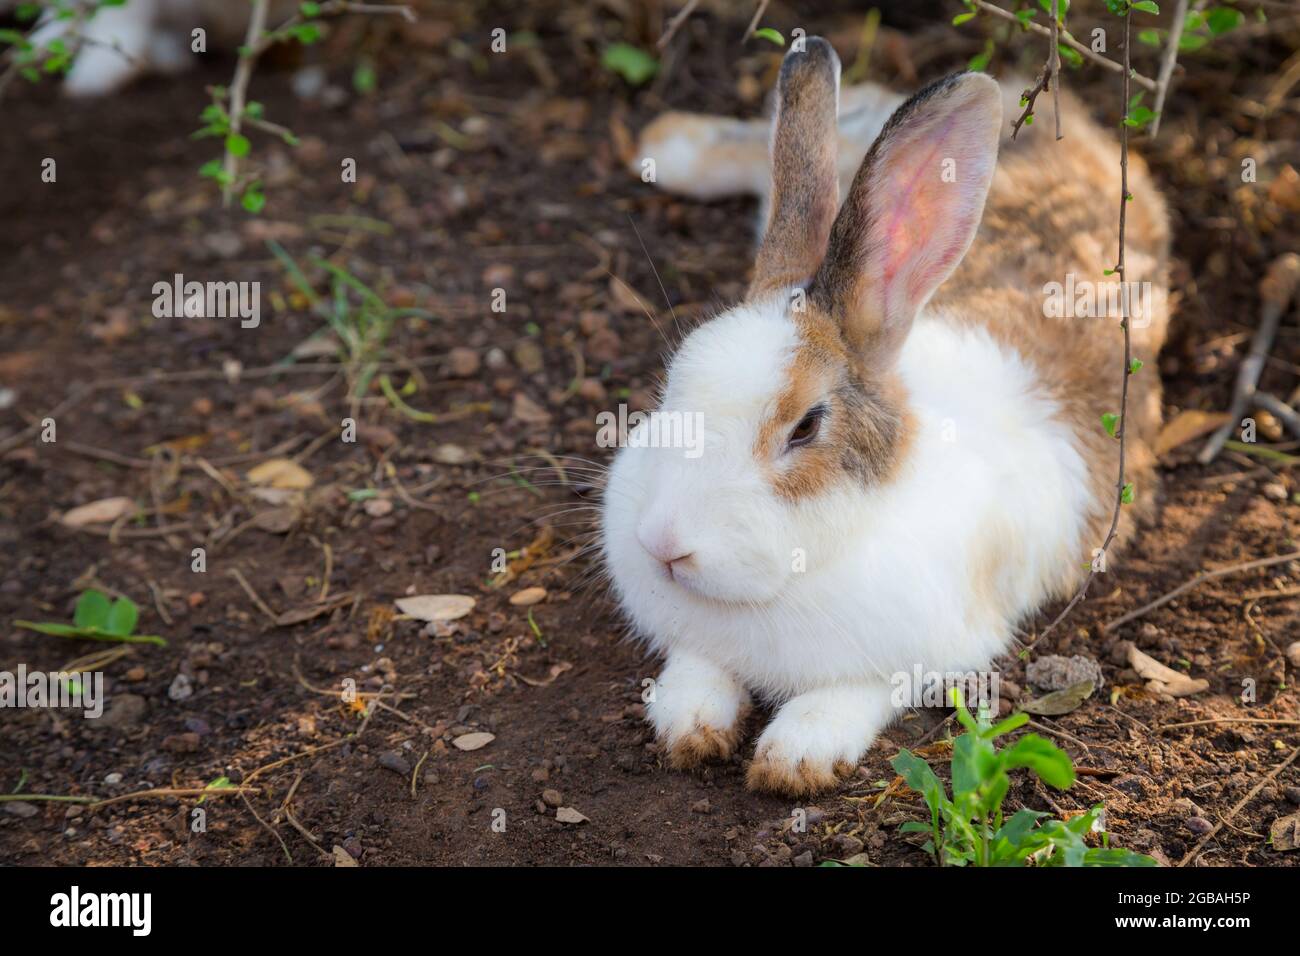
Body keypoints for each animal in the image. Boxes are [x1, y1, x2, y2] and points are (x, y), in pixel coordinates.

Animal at [600, 37, 1170, 796]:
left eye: (806, 426)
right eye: (672, 385)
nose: (664, 545)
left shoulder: (925, 653)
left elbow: (851, 694)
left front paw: (795, 759)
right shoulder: (696, 640)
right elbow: (697, 673)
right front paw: (689, 726)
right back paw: (670, 145)